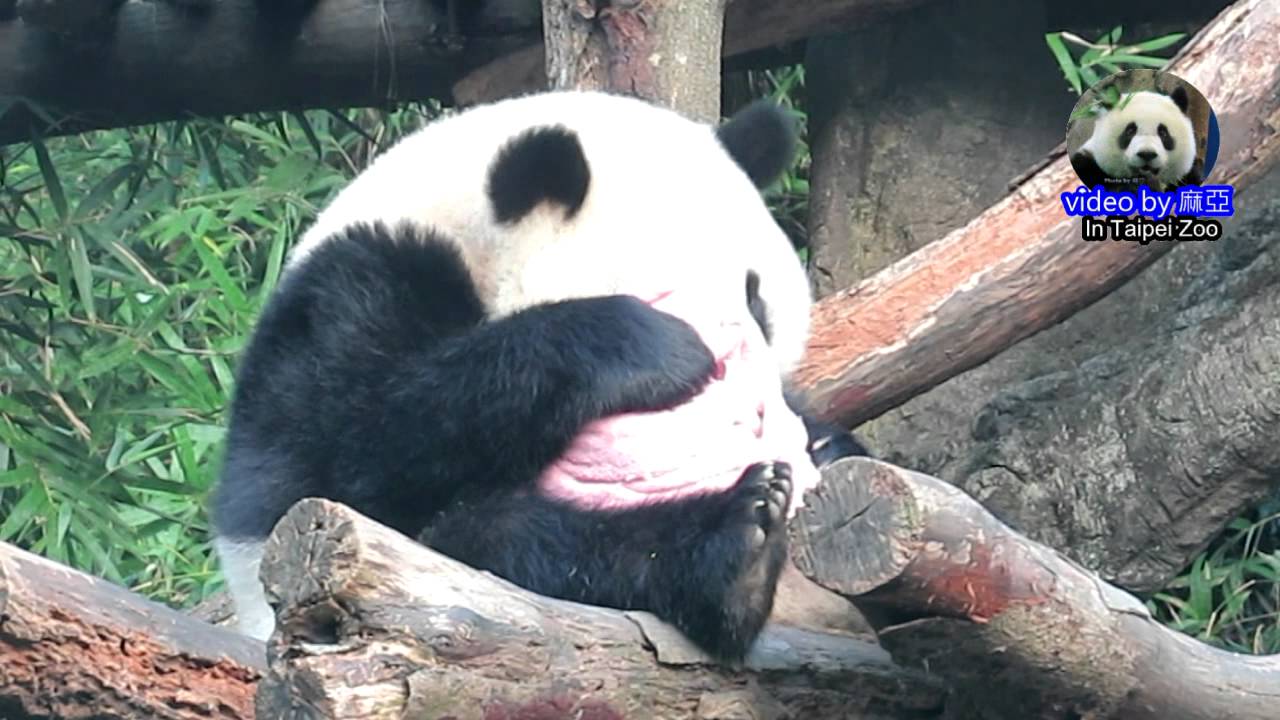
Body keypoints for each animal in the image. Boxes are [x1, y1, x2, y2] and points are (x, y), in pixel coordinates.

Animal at [210, 90, 868, 663]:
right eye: (667, 301)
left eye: (758, 298)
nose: (748, 403)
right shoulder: (351, 289)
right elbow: (341, 450)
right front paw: (644, 347)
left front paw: (826, 444)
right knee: (504, 539)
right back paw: (733, 550)